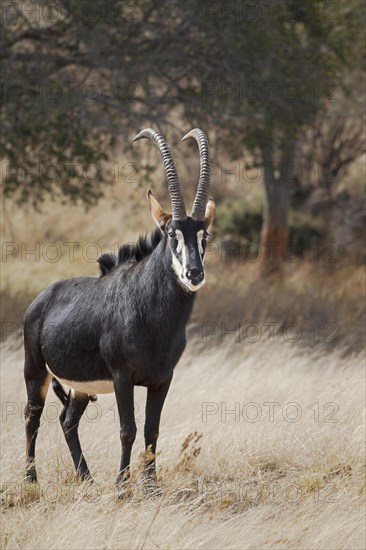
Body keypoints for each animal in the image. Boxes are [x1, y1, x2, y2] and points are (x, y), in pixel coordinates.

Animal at [22, 128, 214, 492]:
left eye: (204, 236)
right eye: (171, 233)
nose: (194, 274)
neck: (153, 315)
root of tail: (40, 300)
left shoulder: (162, 379)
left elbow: (152, 431)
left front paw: (151, 486)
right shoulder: (123, 377)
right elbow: (128, 430)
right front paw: (122, 487)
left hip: (80, 388)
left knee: (67, 420)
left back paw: (86, 478)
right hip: (35, 371)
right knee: (31, 417)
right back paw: (30, 480)